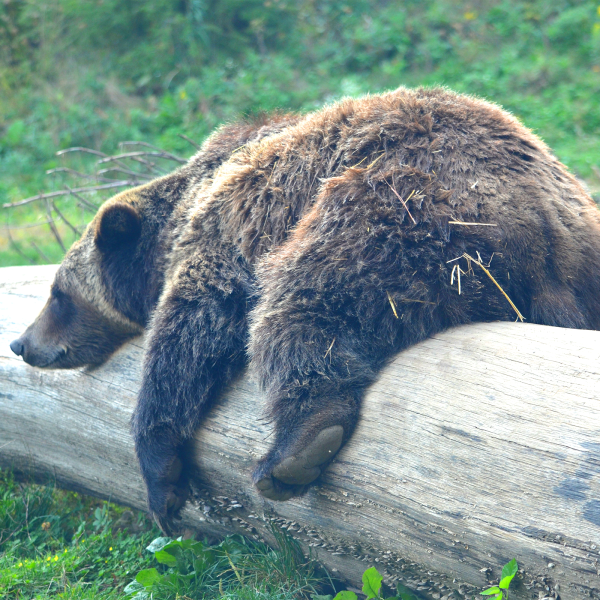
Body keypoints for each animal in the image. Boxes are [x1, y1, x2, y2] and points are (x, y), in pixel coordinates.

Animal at [10, 86, 600, 532]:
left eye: (58, 293)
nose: (21, 343)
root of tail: (544, 226)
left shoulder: (229, 225)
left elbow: (190, 328)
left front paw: (162, 481)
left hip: (403, 200)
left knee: (308, 294)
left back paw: (296, 448)